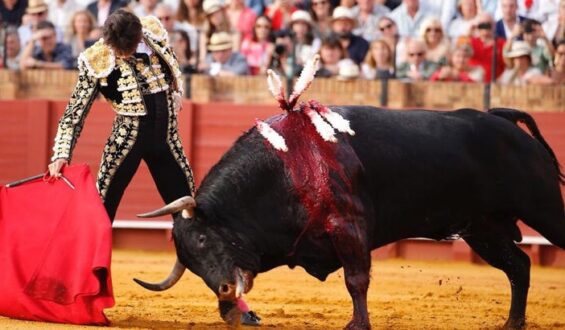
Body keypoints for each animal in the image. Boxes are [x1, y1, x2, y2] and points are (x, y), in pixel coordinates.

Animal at [134, 107, 560, 328]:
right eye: (188, 261)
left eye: (203, 238)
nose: (223, 289)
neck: (285, 168)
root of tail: (501, 119)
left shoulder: (350, 227)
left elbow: (356, 281)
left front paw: (357, 324)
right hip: (482, 229)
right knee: (518, 265)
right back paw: (512, 323)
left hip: (543, 211)